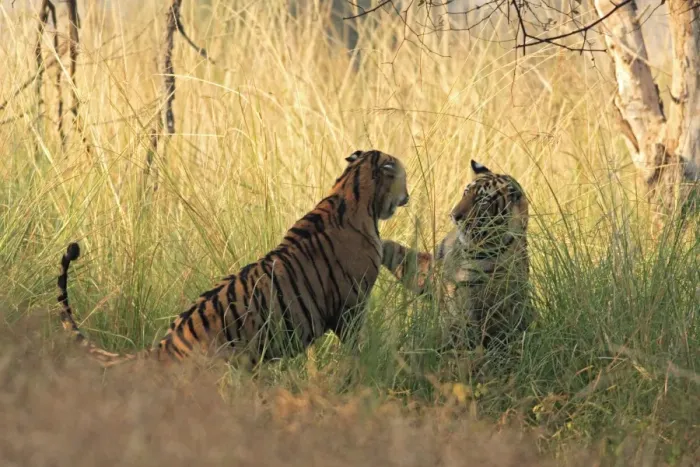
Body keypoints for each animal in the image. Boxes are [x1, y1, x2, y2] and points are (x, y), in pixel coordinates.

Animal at [57, 149, 410, 368]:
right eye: (402, 176)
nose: (407, 196)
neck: (351, 189)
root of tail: (166, 344)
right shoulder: (352, 308)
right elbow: (354, 346)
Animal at [381, 159, 531, 352]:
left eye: (482, 201)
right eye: (465, 193)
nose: (454, 215)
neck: (463, 248)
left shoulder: (468, 298)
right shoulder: (429, 270)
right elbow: (396, 252)